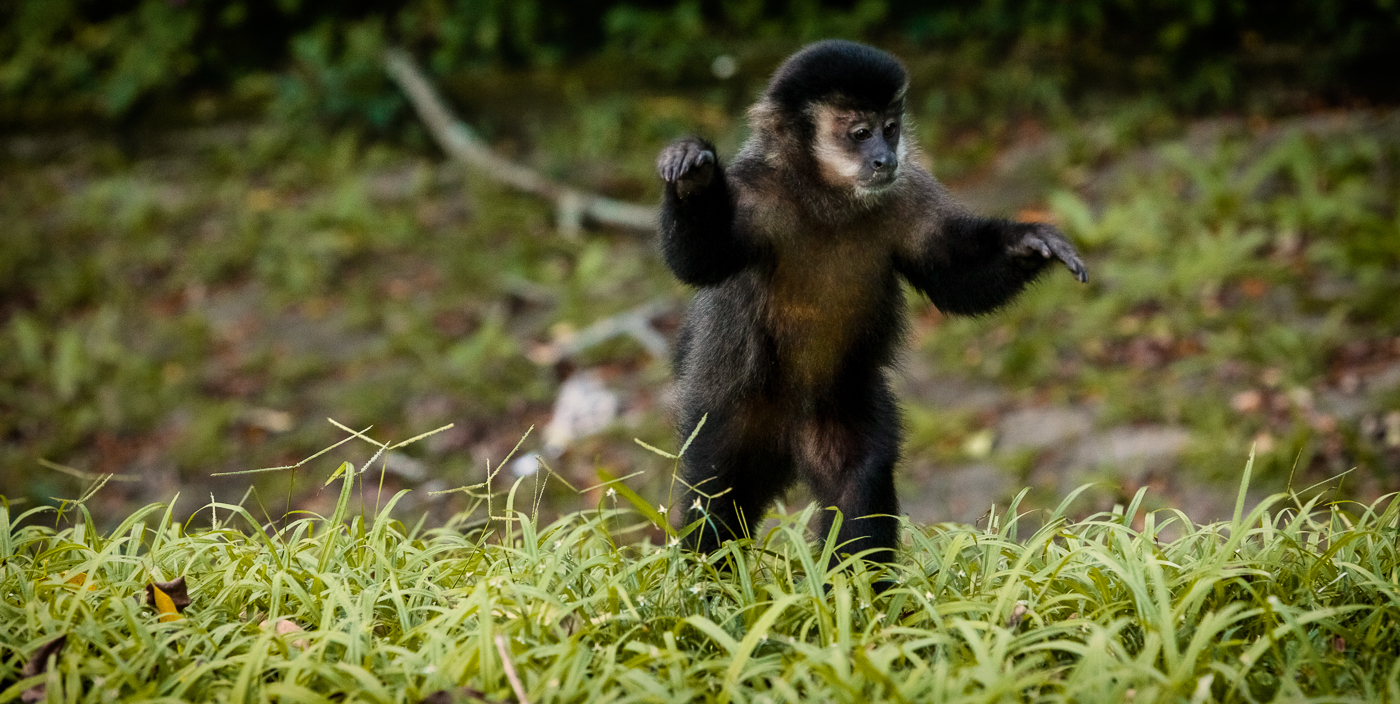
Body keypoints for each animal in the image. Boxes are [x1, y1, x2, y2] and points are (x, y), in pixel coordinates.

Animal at [656, 40, 1087, 569]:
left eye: (890, 128)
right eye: (860, 134)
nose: (884, 158)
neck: (827, 199)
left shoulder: (909, 192)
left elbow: (953, 276)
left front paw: (1028, 244)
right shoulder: (756, 192)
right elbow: (700, 262)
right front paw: (693, 179)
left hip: (839, 403)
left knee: (857, 476)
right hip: (728, 407)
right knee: (717, 494)